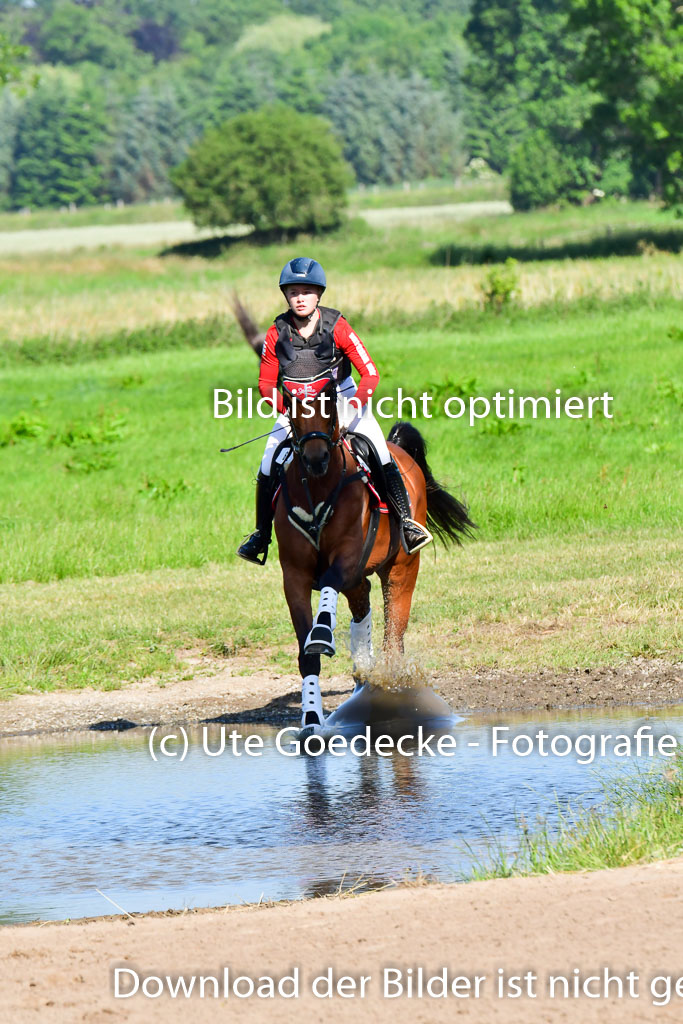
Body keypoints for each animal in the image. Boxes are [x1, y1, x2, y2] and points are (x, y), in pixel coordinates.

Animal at [272, 366, 475, 729]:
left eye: (328, 401)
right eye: (291, 404)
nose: (316, 458)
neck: (318, 489)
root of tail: (398, 448)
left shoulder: (347, 558)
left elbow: (328, 590)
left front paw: (322, 633)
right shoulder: (294, 576)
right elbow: (307, 657)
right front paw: (311, 718)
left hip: (401, 568)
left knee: (394, 628)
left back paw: (389, 682)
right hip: (359, 579)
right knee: (362, 607)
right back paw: (364, 676)